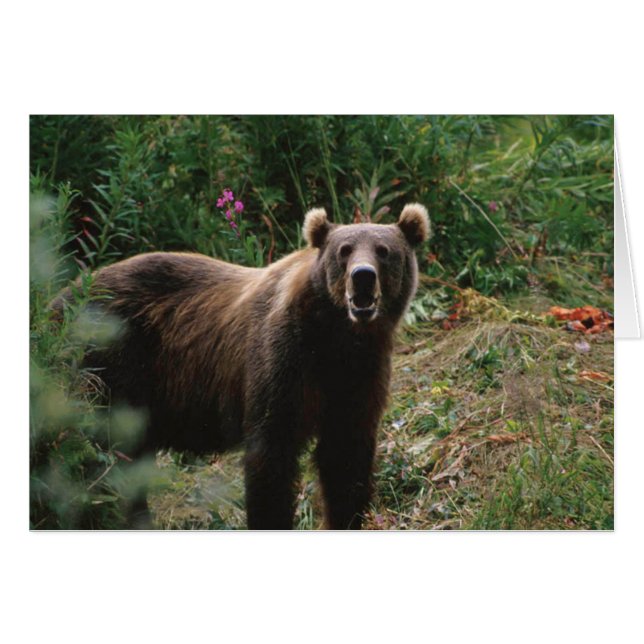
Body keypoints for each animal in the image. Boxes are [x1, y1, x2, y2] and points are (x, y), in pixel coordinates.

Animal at [53, 203, 430, 529]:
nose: (363, 277)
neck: (336, 336)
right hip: (110, 363)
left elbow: (346, 456)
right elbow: (271, 454)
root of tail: (62, 296)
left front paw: (344, 518)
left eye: (384, 250)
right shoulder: (283, 360)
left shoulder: (359, 373)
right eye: (345, 250)